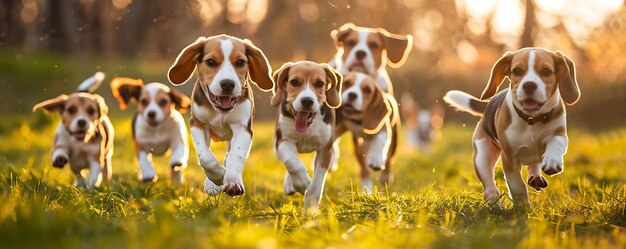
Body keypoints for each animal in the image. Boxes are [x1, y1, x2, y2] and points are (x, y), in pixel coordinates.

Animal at [166, 34, 272, 196]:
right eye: (211, 62)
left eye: (240, 62)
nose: (227, 84)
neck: (220, 112)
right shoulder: (197, 124)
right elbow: (205, 157)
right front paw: (218, 177)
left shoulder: (243, 128)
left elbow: (236, 155)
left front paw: (232, 181)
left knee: (229, 155)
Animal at [270, 60, 342, 210]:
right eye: (294, 82)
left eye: (319, 83)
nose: (307, 101)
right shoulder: (283, 140)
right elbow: (292, 163)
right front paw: (303, 183)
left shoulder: (324, 150)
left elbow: (316, 185)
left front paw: (310, 209)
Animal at [442, 47, 576, 207]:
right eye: (517, 71)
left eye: (546, 71)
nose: (529, 85)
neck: (531, 120)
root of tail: (487, 105)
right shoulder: (509, 158)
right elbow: (517, 185)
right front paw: (523, 207)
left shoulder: (559, 133)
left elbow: (556, 142)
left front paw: (552, 161)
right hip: (482, 153)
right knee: (489, 183)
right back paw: (494, 201)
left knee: (534, 164)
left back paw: (535, 177)